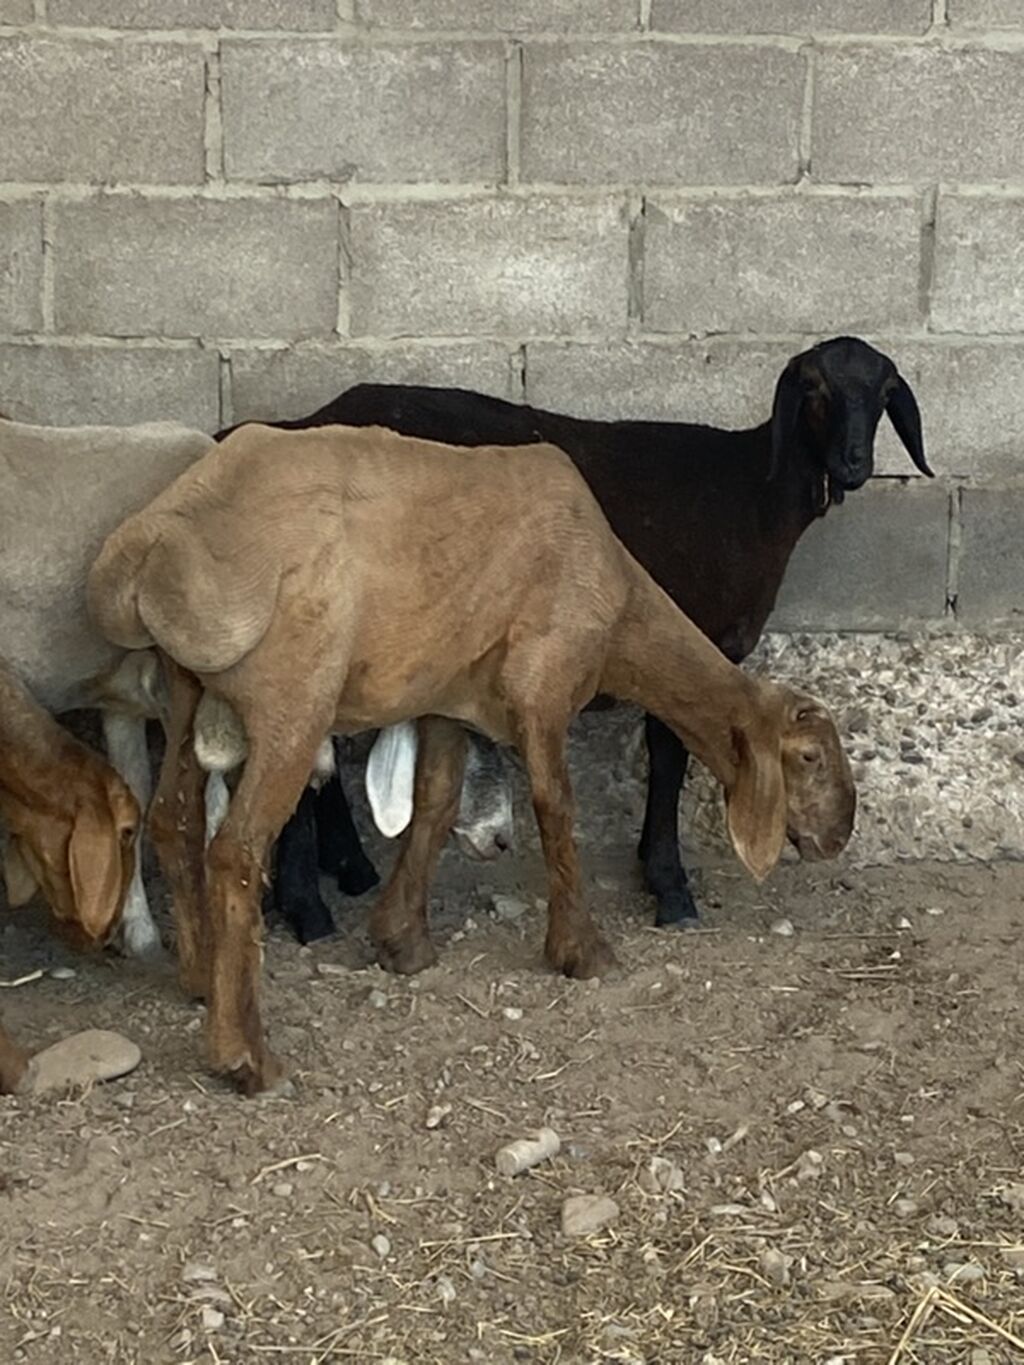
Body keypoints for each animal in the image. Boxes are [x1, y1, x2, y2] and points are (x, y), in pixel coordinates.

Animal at [86, 422, 856, 1093]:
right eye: (809, 757)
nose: (839, 834)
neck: (623, 611)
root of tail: (157, 539)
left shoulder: (448, 697)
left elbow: (435, 802)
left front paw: (402, 942)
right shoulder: (544, 681)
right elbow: (556, 808)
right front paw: (583, 951)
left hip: (187, 688)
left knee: (174, 819)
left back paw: (199, 978)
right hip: (291, 695)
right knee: (237, 851)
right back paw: (245, 1056)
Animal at [239, 335, 925, 929]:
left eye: (885, 390)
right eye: (813, 386)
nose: (855, 464)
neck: (754, 496)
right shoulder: (683, 634)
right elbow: (670, 759)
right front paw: (671, 888)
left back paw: (345, 869)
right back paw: (307, 908)